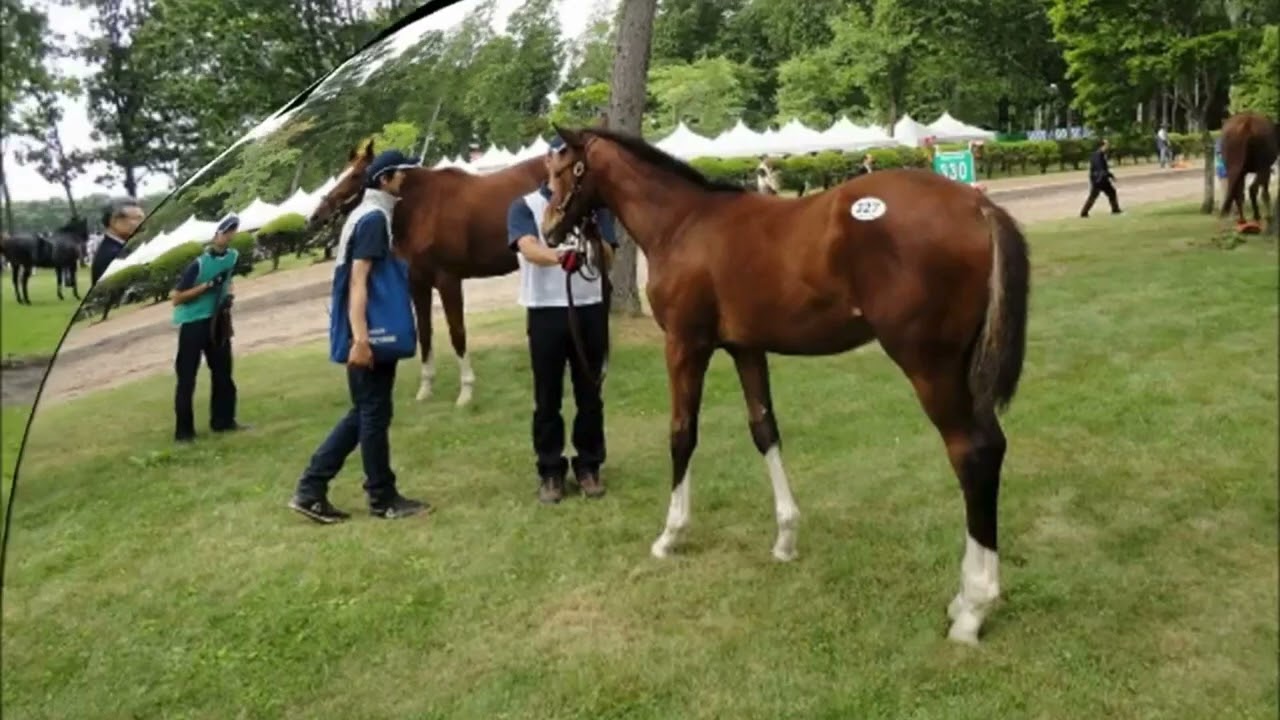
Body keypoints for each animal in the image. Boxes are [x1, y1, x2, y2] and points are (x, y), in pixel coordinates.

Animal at [307, 141, 546, 406]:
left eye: (357, 175)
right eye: (342, 174)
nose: (316, 216)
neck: (422, 207)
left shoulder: (448, 280)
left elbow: (457, 333)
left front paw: (466, 391)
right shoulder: (417, 283)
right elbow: (424, 333)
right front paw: (426, 389)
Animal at [539, 125, 1031, 646]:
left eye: (561, 170)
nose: (549, 231)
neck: (683, 223)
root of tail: (978, 205)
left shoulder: (685, 345)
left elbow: (681, 434)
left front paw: (670, 535)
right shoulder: (746, 349)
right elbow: (764, 429)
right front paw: (786, 538)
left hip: (929, 365)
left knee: (971, 452)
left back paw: (972, 608)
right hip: (962, 367)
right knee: (991, 445)